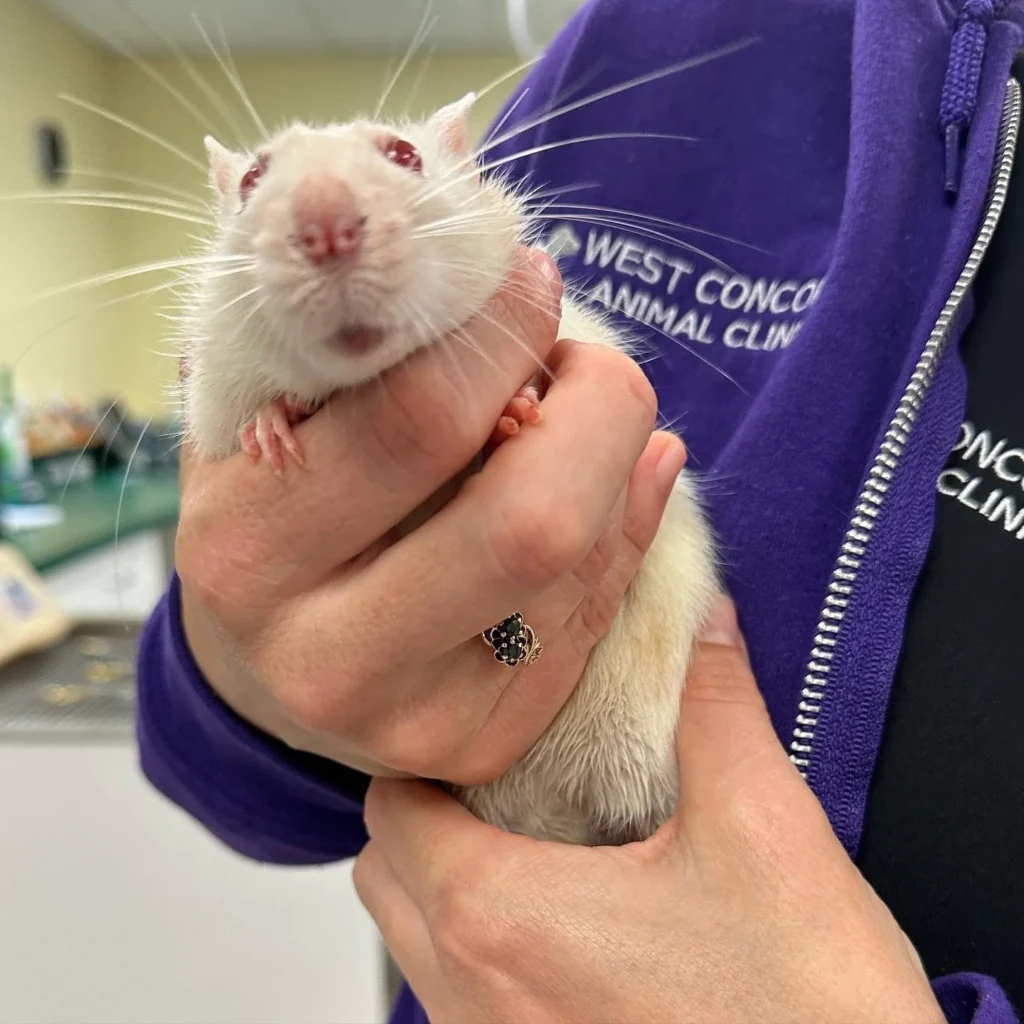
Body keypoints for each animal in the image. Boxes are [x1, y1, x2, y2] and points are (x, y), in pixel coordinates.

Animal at [181, 93, 718, 846]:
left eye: (404, 155)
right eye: (254, 180)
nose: (325, 226)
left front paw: (514, 411)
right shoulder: (217, 392)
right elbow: (243, 413)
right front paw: (272, 424)